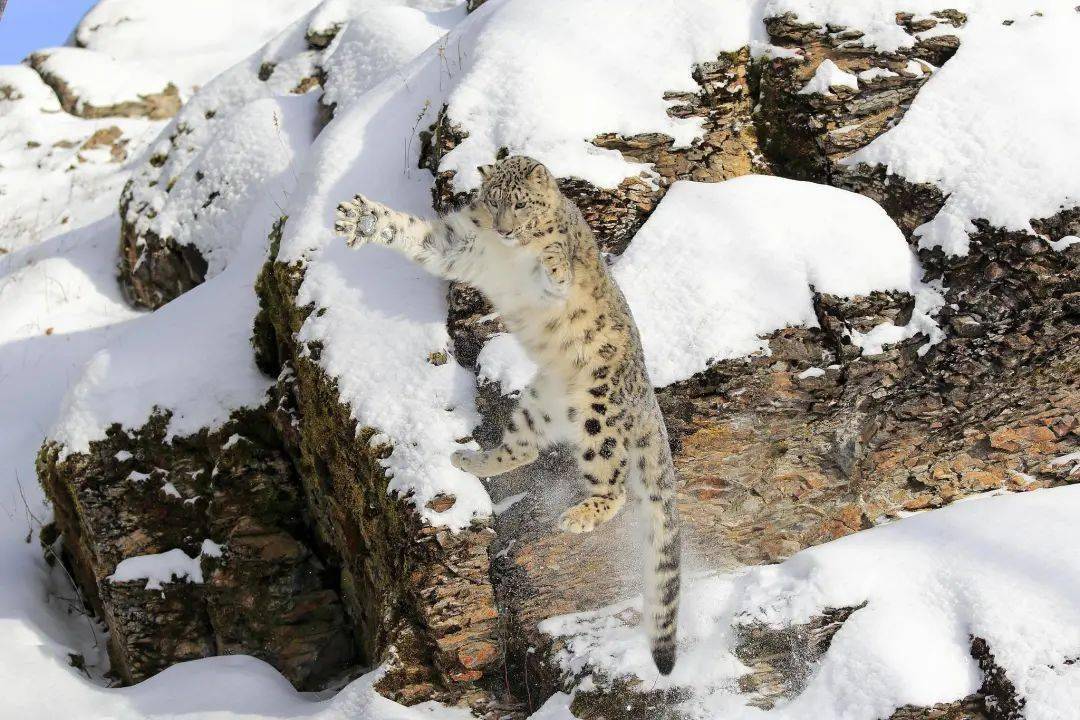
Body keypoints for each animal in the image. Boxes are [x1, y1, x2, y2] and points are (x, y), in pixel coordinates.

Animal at [332, 153, 678, 677]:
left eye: (521, 205)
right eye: (493, 203)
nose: (506, 230)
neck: (506, 253)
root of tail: (645, 394)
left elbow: (557, 272)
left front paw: (554, 259)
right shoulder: (458, 245)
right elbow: (413, 234)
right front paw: (363, 219)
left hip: (598, 412)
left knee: (613, 482)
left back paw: (578, 516)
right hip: (537, 406)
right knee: (525, 448)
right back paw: (469, 461)